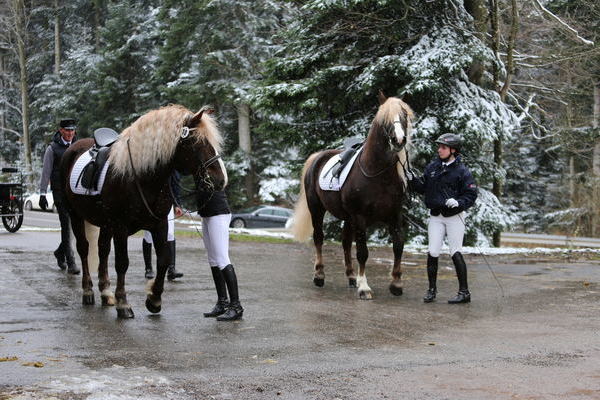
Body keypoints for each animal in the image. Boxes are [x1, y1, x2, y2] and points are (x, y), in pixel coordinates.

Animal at [61, 104, 226, 318]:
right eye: (197, 142)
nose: (220, 180)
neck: (143, 176)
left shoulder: (159, 224)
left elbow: (163, 259)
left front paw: (154, 299)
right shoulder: (120, 226)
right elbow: (122, 262)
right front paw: (123, 303)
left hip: (105, 224)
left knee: (103, 250)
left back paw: (105, 292)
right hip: (75, 215)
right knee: (83, 249)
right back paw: (88, 291)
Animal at [290, 94, 412, 298]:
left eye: (404, 116)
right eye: (384, 120)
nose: (399, 140)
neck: (377, 173)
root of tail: (318, 156)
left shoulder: (395, 216)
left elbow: (398, 246)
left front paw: (396, 283)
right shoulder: (360, 217)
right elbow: (362, 251)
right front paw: (365, 287)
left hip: (348, 218)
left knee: (346, 242)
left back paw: (351, 276)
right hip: (317, 209)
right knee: (319, 238)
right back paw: (320, 275)